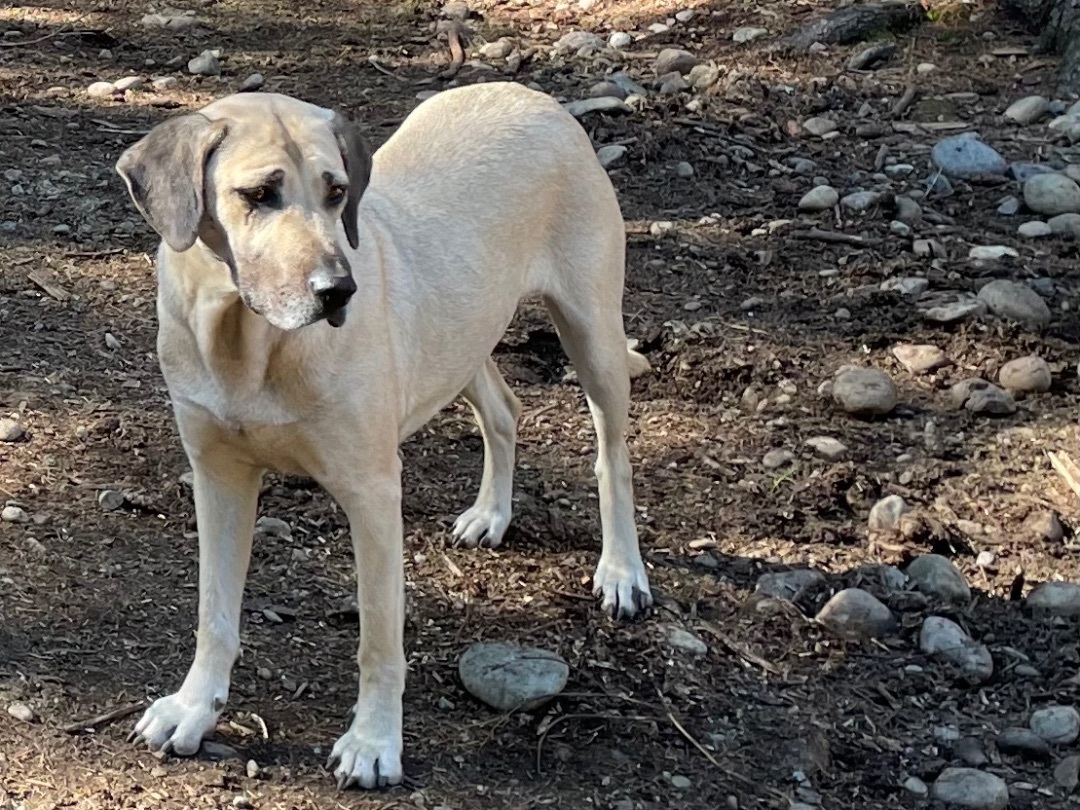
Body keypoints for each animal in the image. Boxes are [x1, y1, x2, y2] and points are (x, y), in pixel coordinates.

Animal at [118, 84, 656, 794]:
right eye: (258, 193)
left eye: (337, 192)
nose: (337, 290)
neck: (247, 340)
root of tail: (532, 95)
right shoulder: (217, 476)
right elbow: (215, 614)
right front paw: (193, 708)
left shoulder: (372, 495)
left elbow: (378, 637)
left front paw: (374, 744)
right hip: (461, 337)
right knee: (504, 409)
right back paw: (491, 514)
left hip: (591, 331)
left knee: (612, 457)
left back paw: (622, 572)